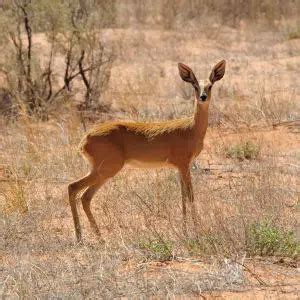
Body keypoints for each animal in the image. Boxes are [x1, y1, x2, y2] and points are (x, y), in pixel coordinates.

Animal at [68, 59, 225, 243]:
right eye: (194, 85)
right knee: (75, 189)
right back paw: (85, 237)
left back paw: (92, 238)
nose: (203, 97)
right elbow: (190, 195)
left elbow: (183, 197)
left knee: (82, 194)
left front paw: (186, 231)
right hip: (106, 170)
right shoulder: (184, 165)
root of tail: (84, 140)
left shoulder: (179, 168)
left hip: (100, 171)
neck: (191, 129)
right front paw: (196, 231)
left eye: (210, 85)